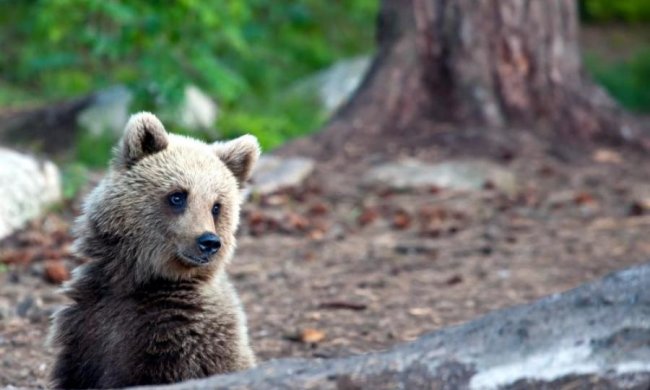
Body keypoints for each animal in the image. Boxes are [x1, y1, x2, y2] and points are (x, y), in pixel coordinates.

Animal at [48, 111, 258, 388]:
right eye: (178, 196)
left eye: (216, 206)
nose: (209, 242)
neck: (140, 279)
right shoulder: (89, 327)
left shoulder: (177, 342)